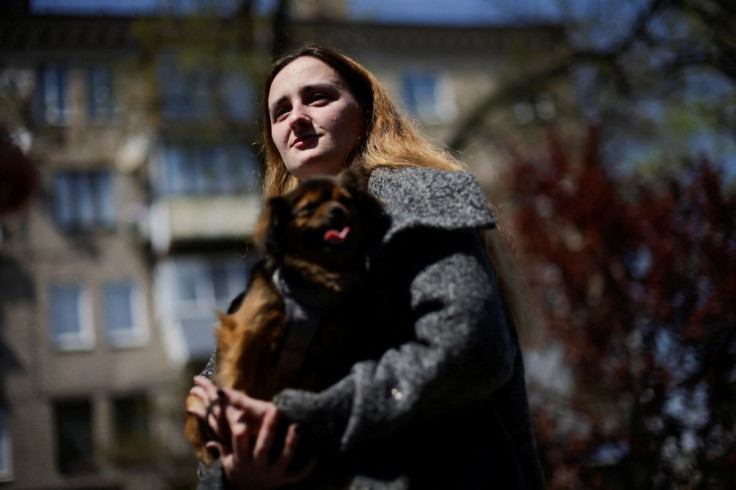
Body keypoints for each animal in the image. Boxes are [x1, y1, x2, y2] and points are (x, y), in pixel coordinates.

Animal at [185, 167, 386, 464]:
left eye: (346, 200)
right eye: (308, 208)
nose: (337, 211)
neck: (315, 276)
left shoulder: (327, 347)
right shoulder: (245, 330)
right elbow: (238, 374)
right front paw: (233, 415)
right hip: (194, 401)